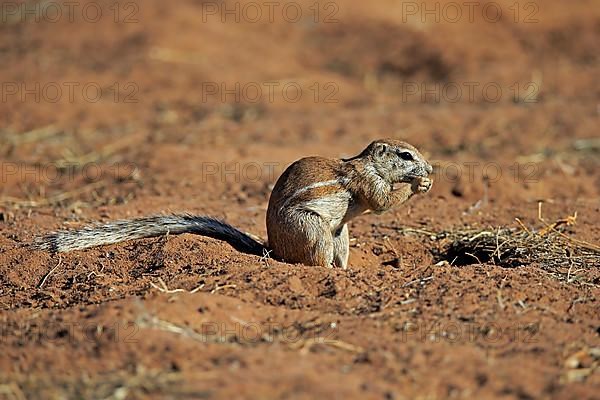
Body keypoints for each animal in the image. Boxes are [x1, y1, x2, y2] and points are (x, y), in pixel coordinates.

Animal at [38, 139, 432, 268]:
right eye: (405, 154)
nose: (429, 168)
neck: (368, 163)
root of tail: (273, 250)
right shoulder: (368, 182)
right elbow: (382, 201)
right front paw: (418, 185)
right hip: (314, 229)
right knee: (315, 262)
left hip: (341, 233)